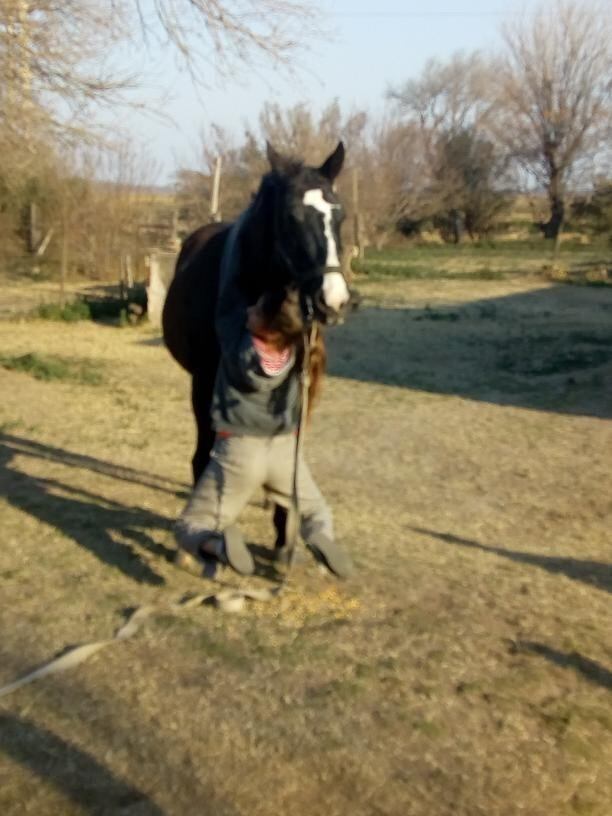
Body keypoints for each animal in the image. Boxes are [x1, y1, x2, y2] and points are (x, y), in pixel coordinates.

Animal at [163, 141, 352, 548]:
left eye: (340, 215)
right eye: (292, 217)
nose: (334, 300)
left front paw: (284, 528)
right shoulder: (204, 381)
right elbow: (205, 452)